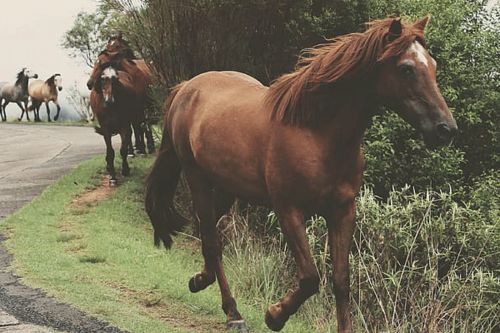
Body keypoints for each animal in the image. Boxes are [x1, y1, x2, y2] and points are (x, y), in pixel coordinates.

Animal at [144, 16, 458, 332]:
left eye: (432, 65)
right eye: (406, 69)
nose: (446, 129)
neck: (317, 134)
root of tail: (187, 87)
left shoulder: (343, 211)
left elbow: (341, 281)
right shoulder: (289, 210)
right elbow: (310, 278)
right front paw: (274, 315)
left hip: (227, 187)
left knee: (205, 231)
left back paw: (200, 281)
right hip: (197, 178)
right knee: (211, 239)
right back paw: (233, 312)